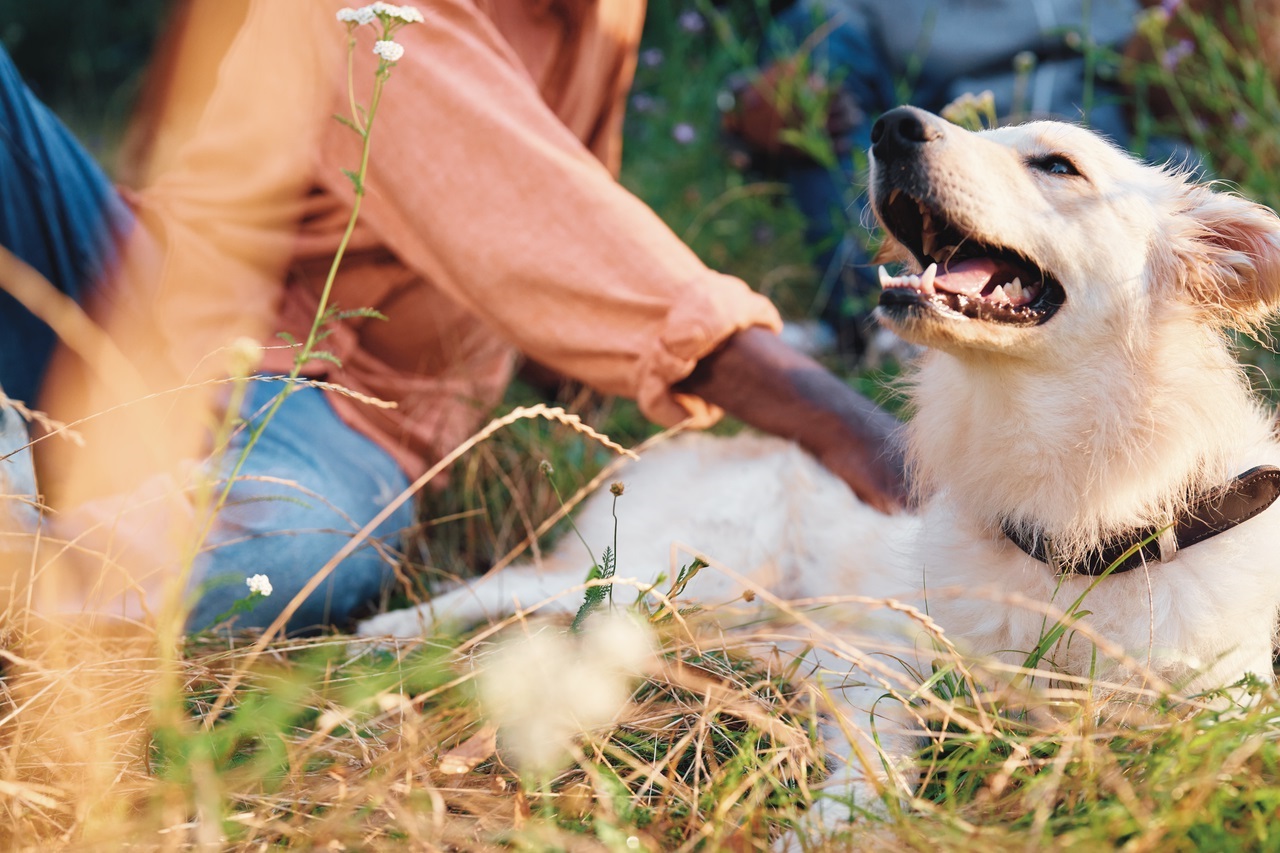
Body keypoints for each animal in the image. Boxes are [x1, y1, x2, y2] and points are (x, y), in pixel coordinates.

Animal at [355, 106, 1280, 819]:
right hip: (678, 571)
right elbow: (880, 760)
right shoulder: (884, 651)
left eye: (1058, 163)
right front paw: (842, 824)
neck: (1079, 515)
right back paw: (377, 636)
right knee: (501, 584)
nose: (891, 125)